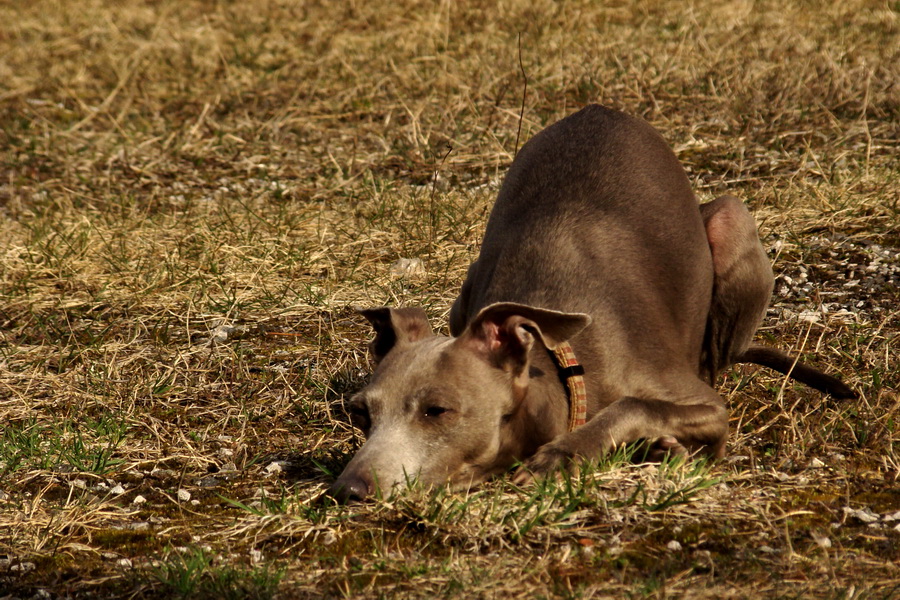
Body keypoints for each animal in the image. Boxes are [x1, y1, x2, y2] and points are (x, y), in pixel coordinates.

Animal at [326, 106, 856, 502]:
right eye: (361, 413)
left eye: (437, 411)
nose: (346, 490)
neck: (565, 367)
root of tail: (601, 108)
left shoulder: (707, 406)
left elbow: (634, 404)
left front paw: (564, 456)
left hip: (732, 221)